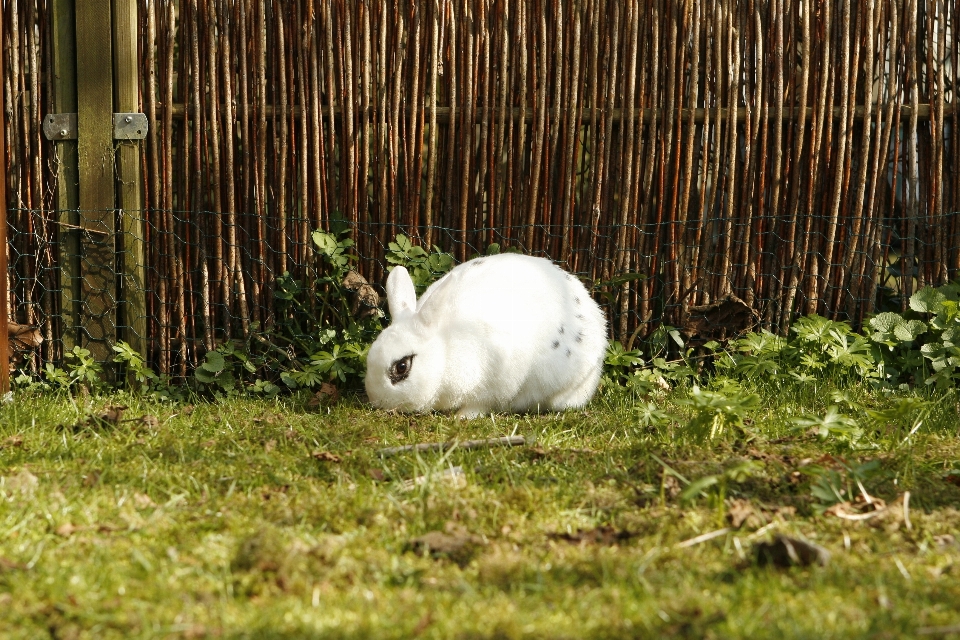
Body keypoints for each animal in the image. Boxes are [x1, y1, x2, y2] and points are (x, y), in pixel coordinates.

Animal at [366, 252, 608, 418]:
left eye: (402, 367)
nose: (378, 401)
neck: (445, 351)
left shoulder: (496, 382)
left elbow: (481, 404)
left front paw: (462, 417)